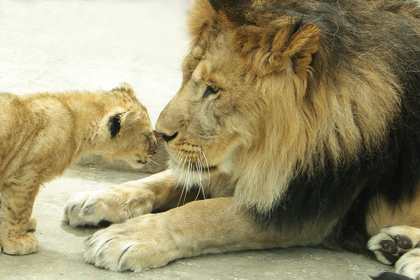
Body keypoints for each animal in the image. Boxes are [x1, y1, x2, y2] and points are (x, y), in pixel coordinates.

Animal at [64, 1, 420, 278]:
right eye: (185, 75)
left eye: (213, 89)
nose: (161, 134)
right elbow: (166, 179)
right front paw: (100, 198)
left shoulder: (306, 204)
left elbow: (206, 214)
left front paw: (128, 237)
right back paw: (396, 244)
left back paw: (408, 255)